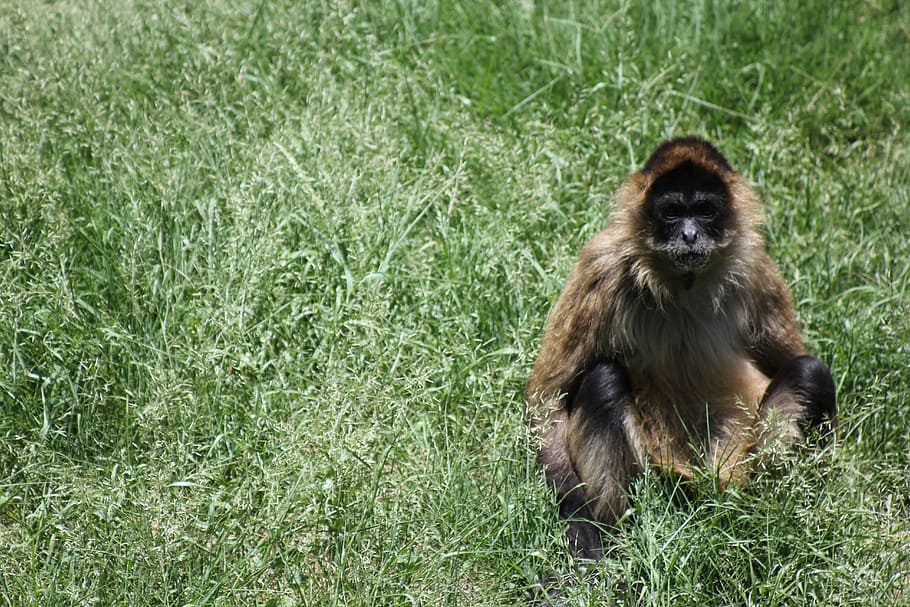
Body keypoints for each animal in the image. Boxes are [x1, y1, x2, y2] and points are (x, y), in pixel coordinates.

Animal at [525, 137, 837, 562]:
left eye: (704, 210)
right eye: (672, 212)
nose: (689, 235)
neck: (684, 284)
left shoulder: (755, 266)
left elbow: (789, 363)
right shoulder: (601, 263)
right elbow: (547, 398)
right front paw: (582, 525)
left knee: (810, 372)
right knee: (603, 380)